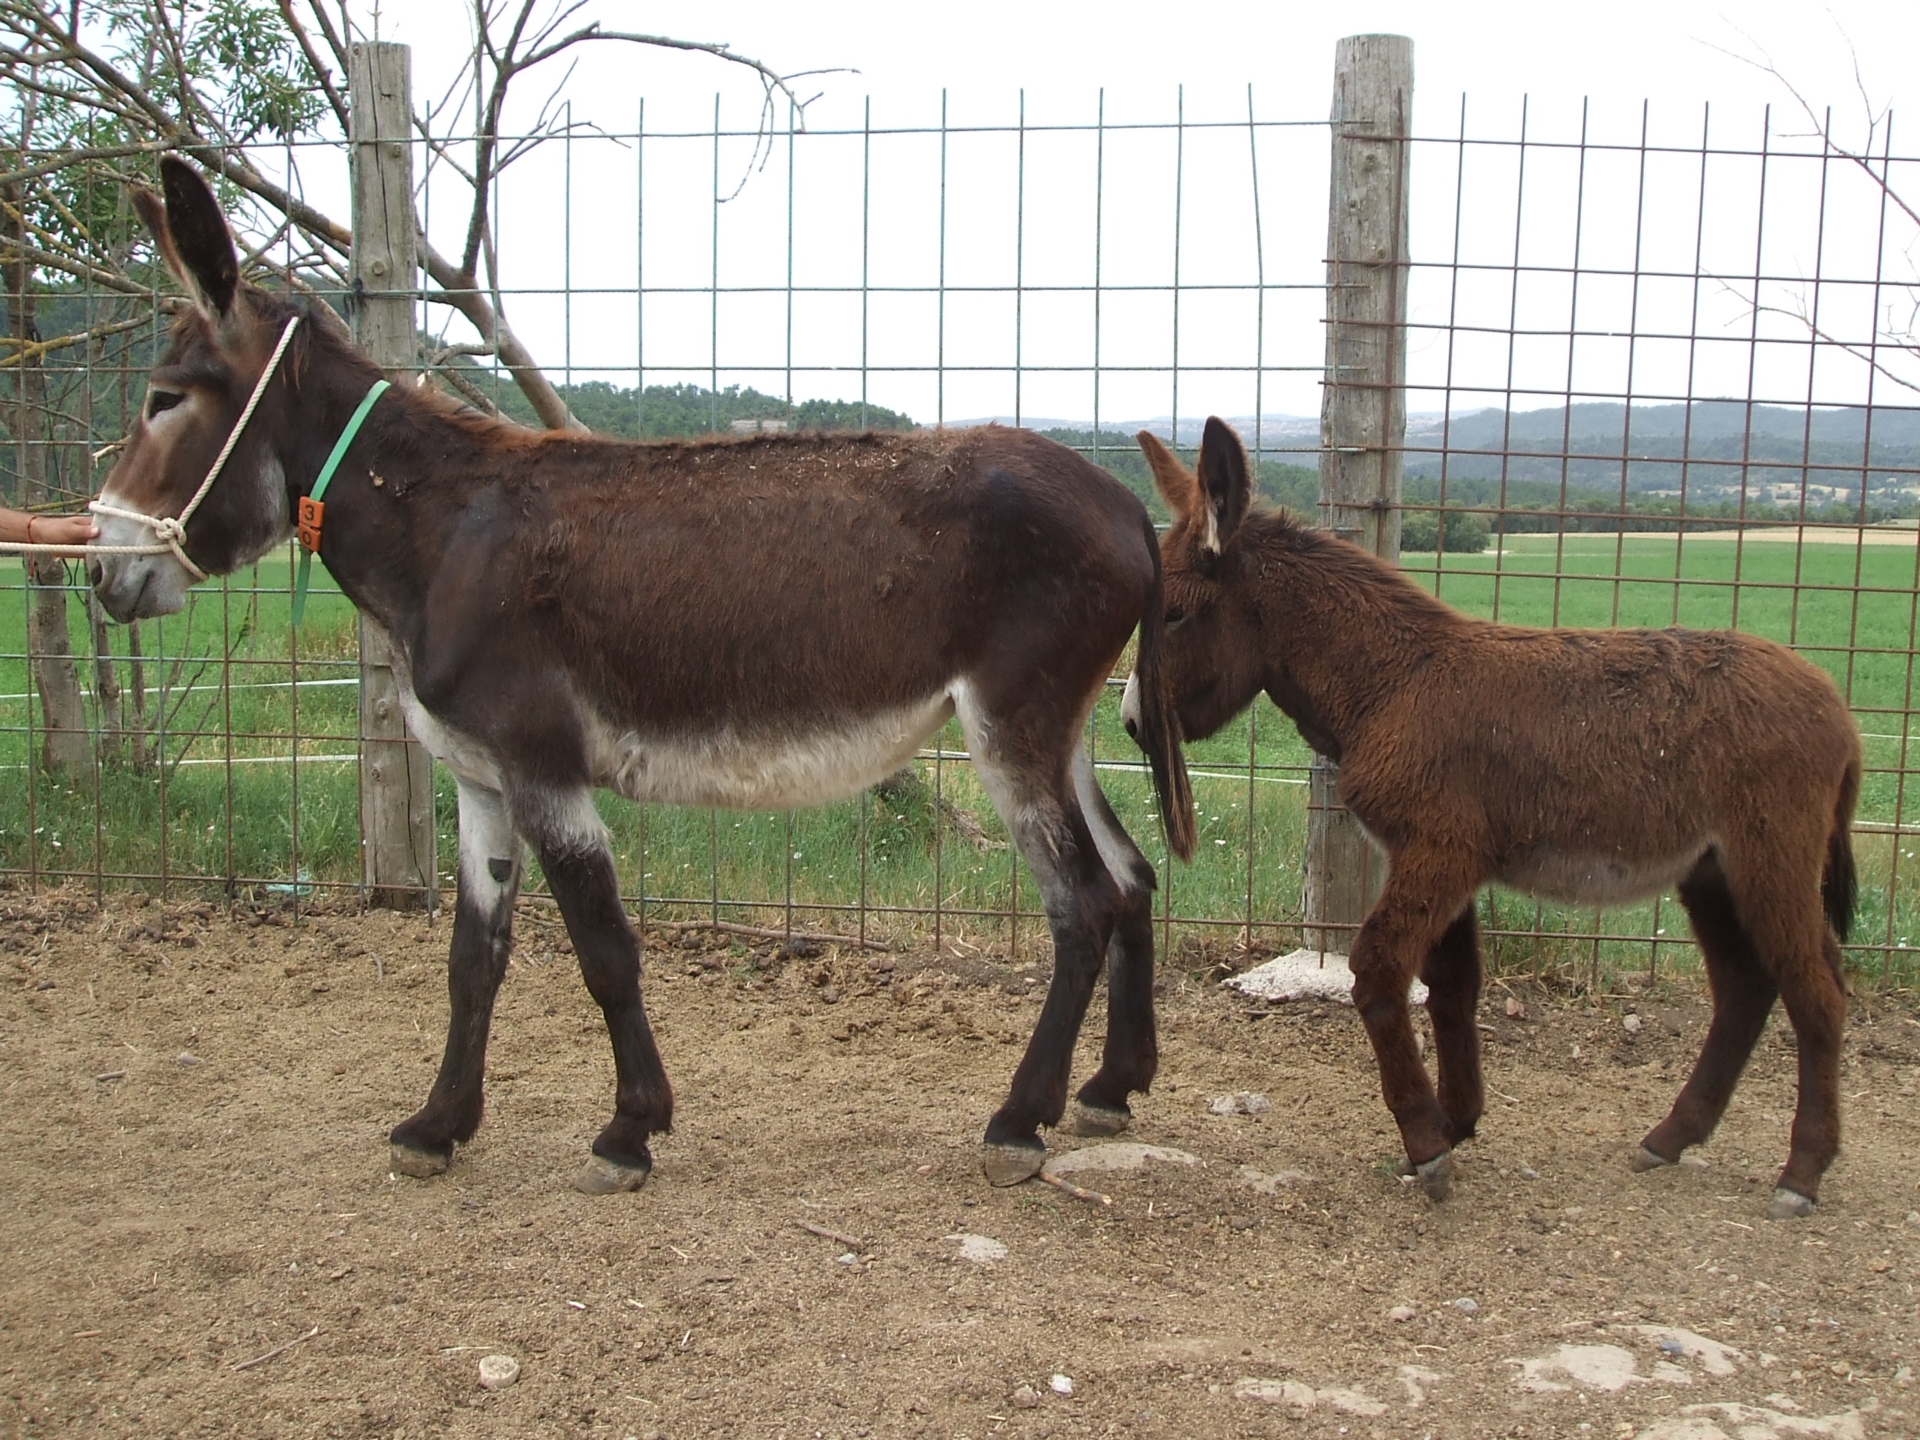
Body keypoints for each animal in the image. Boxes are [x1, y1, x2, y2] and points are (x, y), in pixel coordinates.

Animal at [1121, 416, 1858, 1221]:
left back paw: (1802, 1174)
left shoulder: (1438, 850)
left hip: (1770, 855)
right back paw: (1672, 1137)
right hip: (1710, 870)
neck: (1394, 683)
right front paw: (1458, 1119)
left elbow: (1380, 970)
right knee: (1747, 990)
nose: (1129, 724)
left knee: (1816, 992)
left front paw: (1426, 1143)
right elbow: (1452, 986)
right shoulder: (1440, 859)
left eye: (1175, 615)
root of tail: (1838, 707)